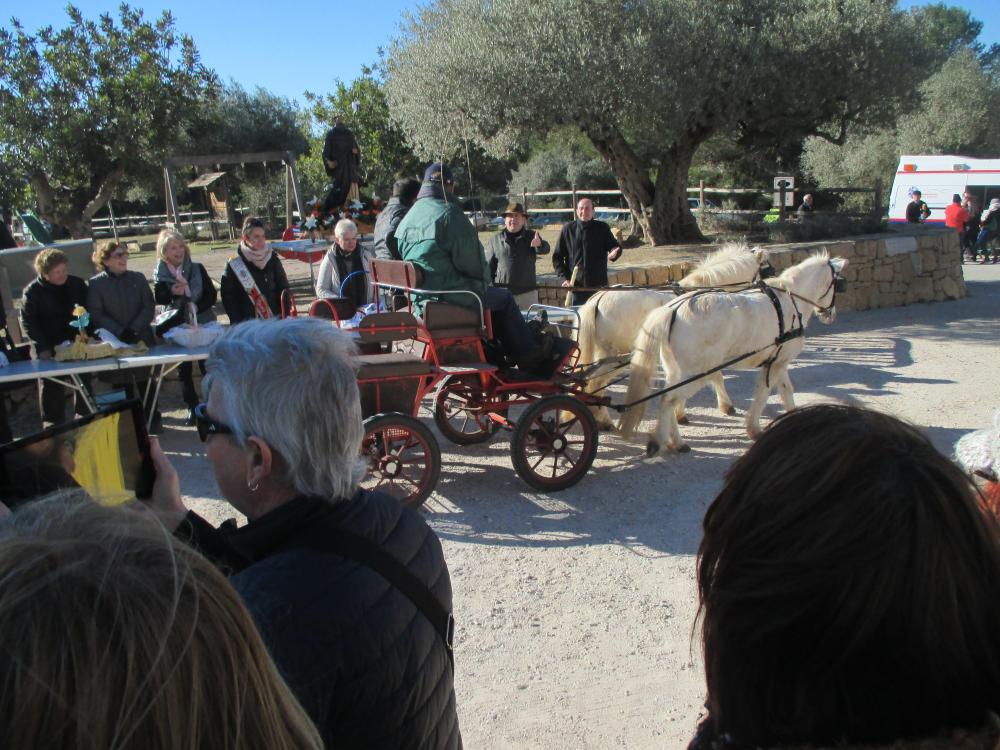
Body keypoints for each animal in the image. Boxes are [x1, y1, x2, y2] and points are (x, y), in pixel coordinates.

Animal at [575, 244, 769, 429]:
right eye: (764, 267)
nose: (764, 288)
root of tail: (599, 298)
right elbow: (716, 376)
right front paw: (724, 406)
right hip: (616, 357)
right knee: (595, 383)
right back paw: (604, 420)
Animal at [618, 252, 848, 454]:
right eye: (838, 284)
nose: (831, 315)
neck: (790, 301)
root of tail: (672, 309)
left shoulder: (778, 361)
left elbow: (786, 390)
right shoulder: (775, 365)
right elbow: (763, 395)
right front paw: (754, 428)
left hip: (676, 371)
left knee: (668, 398)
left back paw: (674, 439)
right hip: (695, 373)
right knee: (668, 400)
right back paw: (668, 441)